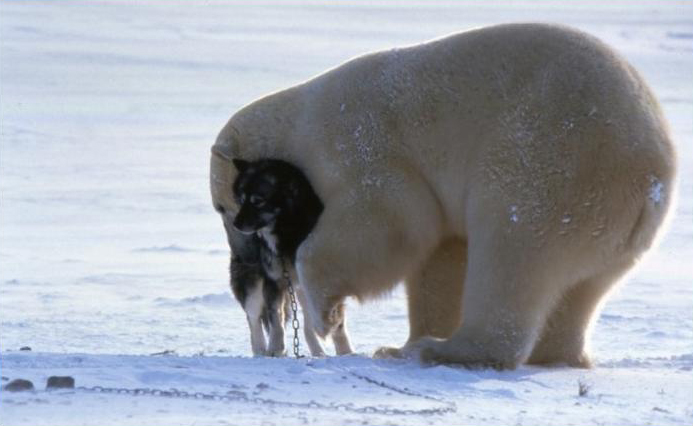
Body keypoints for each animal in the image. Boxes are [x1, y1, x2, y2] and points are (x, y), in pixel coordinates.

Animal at [228, 159, 352, 356]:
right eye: (241, 200)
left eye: (257, 201)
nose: (236, 224)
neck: (287, 234)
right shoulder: (273, 281)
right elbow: (275, 317)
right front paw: (276, 347)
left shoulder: (324, 280)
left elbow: (334, 322)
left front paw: (346, 352)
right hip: (252, 283)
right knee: (253, 319)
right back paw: (261, 351)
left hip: (301, 289)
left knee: (308, 323)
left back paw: (318, 351)